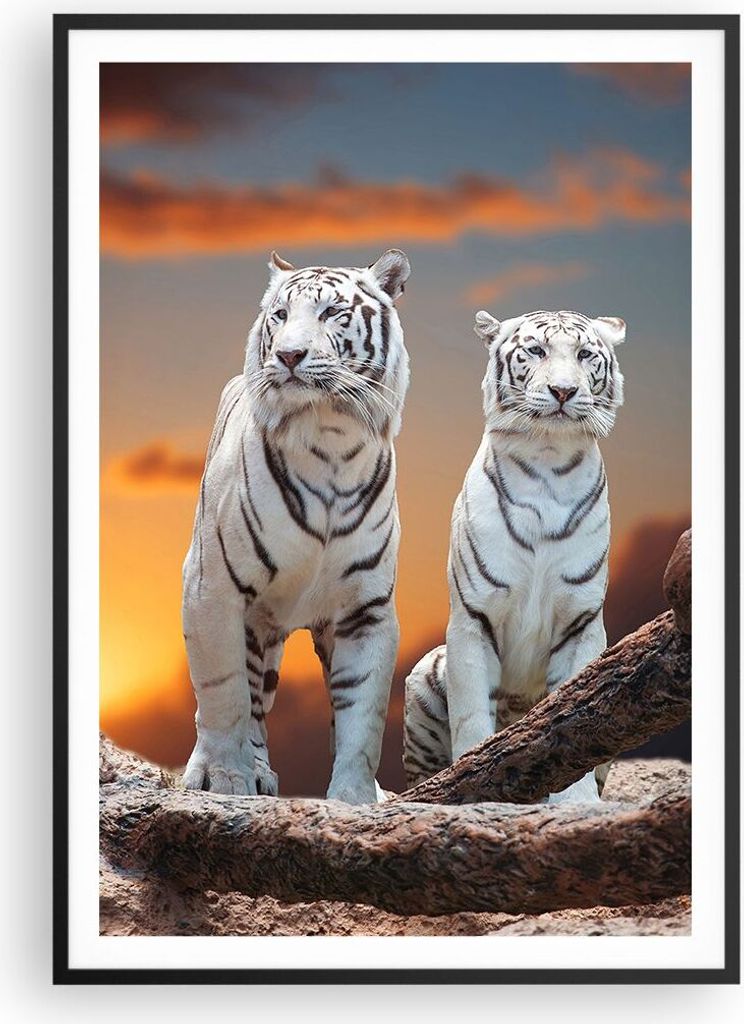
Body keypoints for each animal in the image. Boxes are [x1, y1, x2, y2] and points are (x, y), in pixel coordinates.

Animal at [182, 248, 411, 803]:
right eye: (280, 316)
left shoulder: (367, 608)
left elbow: (363, 716)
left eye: (332, 313)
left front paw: (356, 799)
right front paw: (224, 779)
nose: (288, 356)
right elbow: (223, 694)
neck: (330, 437)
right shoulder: (211, 586)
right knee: (246, 699)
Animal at [404, 308, 626, 803]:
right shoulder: (473, 616)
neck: (548, 459)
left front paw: (577, 802)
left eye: (585, 355)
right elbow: (472, 716)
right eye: (536, 350)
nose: (563, 390)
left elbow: (577, 715)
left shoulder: (581, 621)